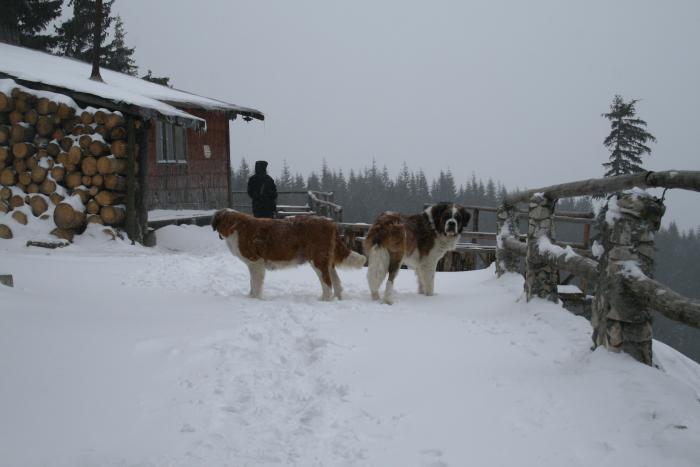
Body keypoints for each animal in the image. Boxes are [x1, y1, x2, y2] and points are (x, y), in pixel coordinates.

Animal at [212, 209, 366, 300]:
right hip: (326, 260)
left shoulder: (255, 262)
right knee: (336, 281)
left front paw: (255, 298)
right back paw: (337, 297)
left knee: (327, 283)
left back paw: (324, 299)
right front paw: (249, 296)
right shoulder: (253, 264)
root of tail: (330, 223)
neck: (235, 225)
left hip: (317, 260)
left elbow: (255, 283)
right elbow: (252, 282)